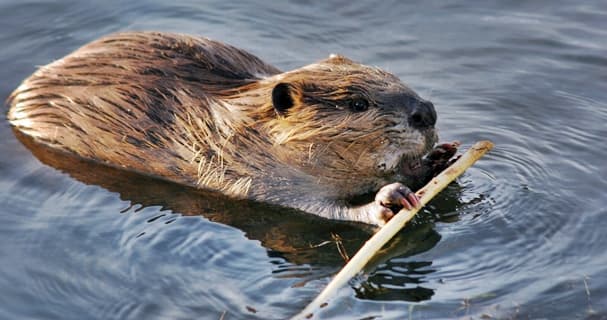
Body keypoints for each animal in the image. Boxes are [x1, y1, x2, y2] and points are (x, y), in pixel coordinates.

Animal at [8, 30, 456, 225]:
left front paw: (441, 156)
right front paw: (389, 199)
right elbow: (318, 209)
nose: (427, 112)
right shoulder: (251, 174)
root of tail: (15, 98)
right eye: (357, 103)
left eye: (392, 76)